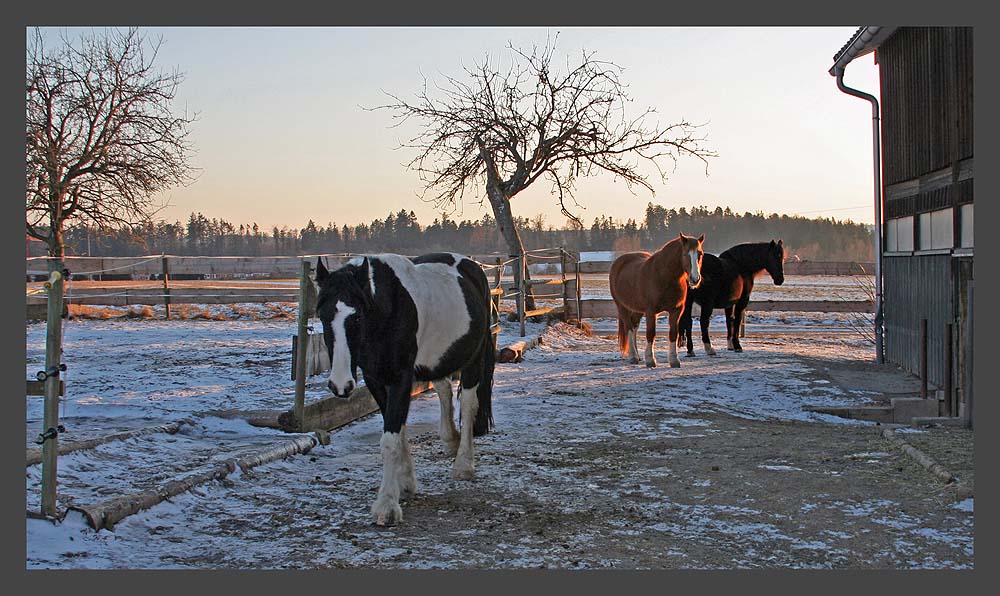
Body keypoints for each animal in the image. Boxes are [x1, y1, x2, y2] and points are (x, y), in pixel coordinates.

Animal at [316, 251, 496, 528]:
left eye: (357, 317)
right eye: (323, 317)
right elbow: (397, 431)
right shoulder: (376, 380)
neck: (389, 311)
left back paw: (464, 465)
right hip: (437, 360)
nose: (340, 384)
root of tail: (472, 267)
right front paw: (406, 482)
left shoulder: (401, 378)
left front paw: (387, 505)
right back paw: (450, 438)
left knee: (468, 405)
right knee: (444, 390)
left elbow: (390, 439)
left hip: (473, 360)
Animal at [604, 233, 708, 368]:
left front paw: (674, 360)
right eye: (685, 254)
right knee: (629, 328)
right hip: (622, 307)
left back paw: (637, 355)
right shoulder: (651, 311)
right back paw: (633, 356)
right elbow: (651, 333)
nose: (695, 279)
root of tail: (619, 262)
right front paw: (650, 360)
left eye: (700, 254)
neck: (663, 276)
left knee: (634, 327)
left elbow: (673, 333)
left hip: (637, 310)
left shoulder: (676, 310)